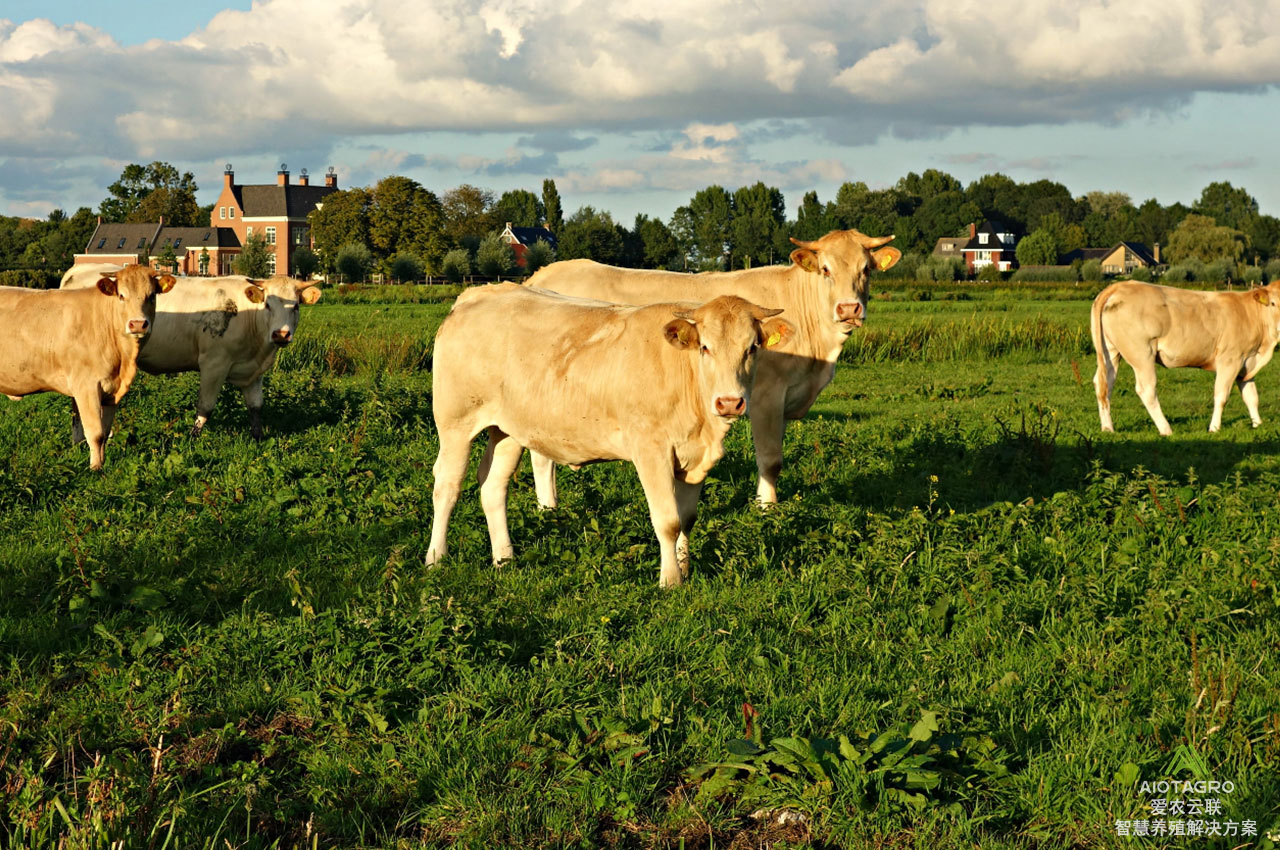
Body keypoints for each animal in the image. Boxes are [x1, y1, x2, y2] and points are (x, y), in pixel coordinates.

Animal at [0, 262, 175, 468]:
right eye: (121, 295)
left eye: (152, 296)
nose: (138, 324)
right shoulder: (86, 386)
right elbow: (95, 434)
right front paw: (95, 468)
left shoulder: (111, 392)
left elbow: (105, 433)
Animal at [64, 266, 325, 437]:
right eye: (268, 304)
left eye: (297, 306)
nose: (281, 334)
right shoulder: (214, 364)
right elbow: (206, 405)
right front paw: (192, 437)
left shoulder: (254, 371)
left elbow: (256, 407)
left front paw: (259, 437)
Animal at [427, 281, 788, 588]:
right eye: (704, 347)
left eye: (752, 348)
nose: (729, 402)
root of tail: (478, 293)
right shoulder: (651, 450)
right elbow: (667, 521)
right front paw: (670, 581)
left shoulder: (694, 455)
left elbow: (687, 518)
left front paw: (684, 569)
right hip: (455, 422)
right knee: (447, 486)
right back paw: (436, 558)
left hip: (507, 430)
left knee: (492, 486)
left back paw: (504, 558)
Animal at [524, 225, 906, 504]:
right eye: (825, 269)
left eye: (866, 269)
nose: (849, 308)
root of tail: (542, 275)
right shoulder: (767, 395)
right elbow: (771, 459)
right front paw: (767, 509)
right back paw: (549, 508)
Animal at [1085, 280, 1280, 435]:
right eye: (1273, 303)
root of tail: (1121, 285)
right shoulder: (1230, 360)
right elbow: (1221, 395)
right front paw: (1214, 428)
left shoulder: (1246, 364)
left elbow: (1252, 397)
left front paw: (1258, 424)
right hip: (1142, 354)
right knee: (1146, 389)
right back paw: (1166, 429)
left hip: (1110, 352)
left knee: (1104, 384)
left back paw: (1108, 428)